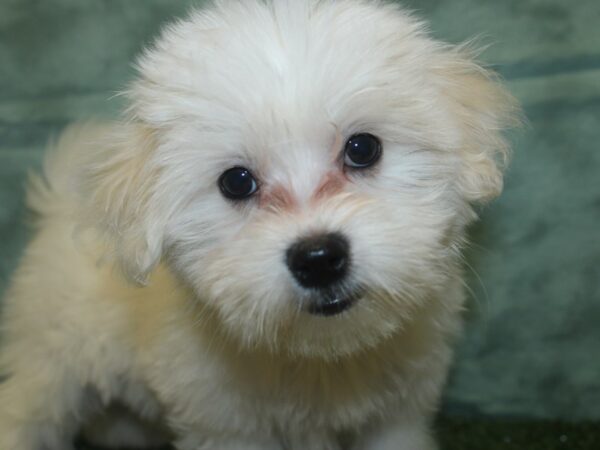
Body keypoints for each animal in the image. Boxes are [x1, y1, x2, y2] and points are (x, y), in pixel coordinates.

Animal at [0, 0, 516, 450]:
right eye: (236, 181)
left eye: (363, 148)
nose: (318, 258)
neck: (319, 352)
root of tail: (59, 205)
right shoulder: (228, 426)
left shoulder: (396, 416)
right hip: (51, 359)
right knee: (26, 409)